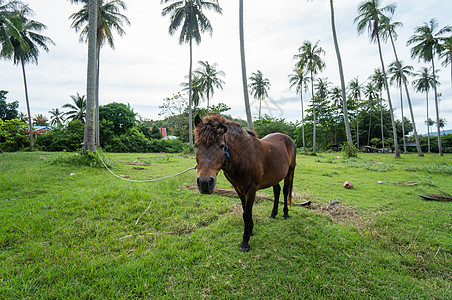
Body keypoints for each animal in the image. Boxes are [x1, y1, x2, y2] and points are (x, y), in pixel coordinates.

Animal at [194, 113, 296, 252]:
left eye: (221, 146)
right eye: (196, 145)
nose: (205, 182)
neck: (243, 156)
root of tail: (287, 138)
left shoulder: (251, 189)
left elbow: (247, 213)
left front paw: (245, 242)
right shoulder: (239, 189)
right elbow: (245, 212)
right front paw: (250, 230)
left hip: (289, 172)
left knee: (285, 191)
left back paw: (285, 214)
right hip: (275, 175)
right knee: (277, 191)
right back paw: (273, 214)